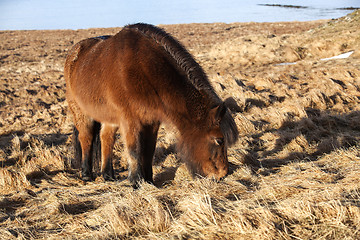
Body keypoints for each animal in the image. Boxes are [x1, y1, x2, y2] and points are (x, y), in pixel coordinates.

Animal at [64, 23, 239, 188]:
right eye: (219, 140)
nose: (223, 174)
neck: (146, 69)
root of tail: (75, 52)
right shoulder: (130, 121)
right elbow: (134, 150)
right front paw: (136, 182)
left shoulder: (152, 121)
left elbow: (149, 150)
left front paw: (148, 181)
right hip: (80, 112)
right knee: (86, 138)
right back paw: (86, 174)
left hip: (108, 117)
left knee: (106, 138)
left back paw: (108, 175)